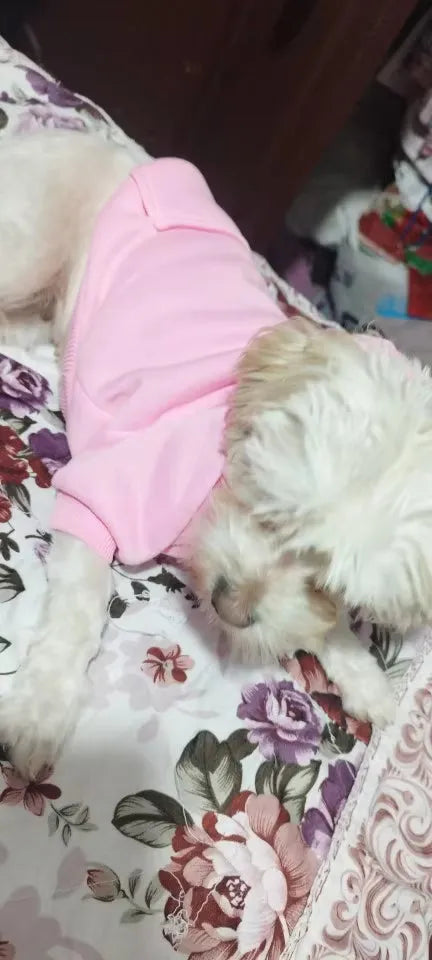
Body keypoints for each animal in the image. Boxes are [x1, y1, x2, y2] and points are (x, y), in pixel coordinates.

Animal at [0, 130, 430, 778]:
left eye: (331, 584)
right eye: (271, 512)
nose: (229, 606)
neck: (215, 492)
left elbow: (319, 626)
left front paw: (363, 673)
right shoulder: (104, 495)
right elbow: (80, 607)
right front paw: (41, 708)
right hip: (31, 243)